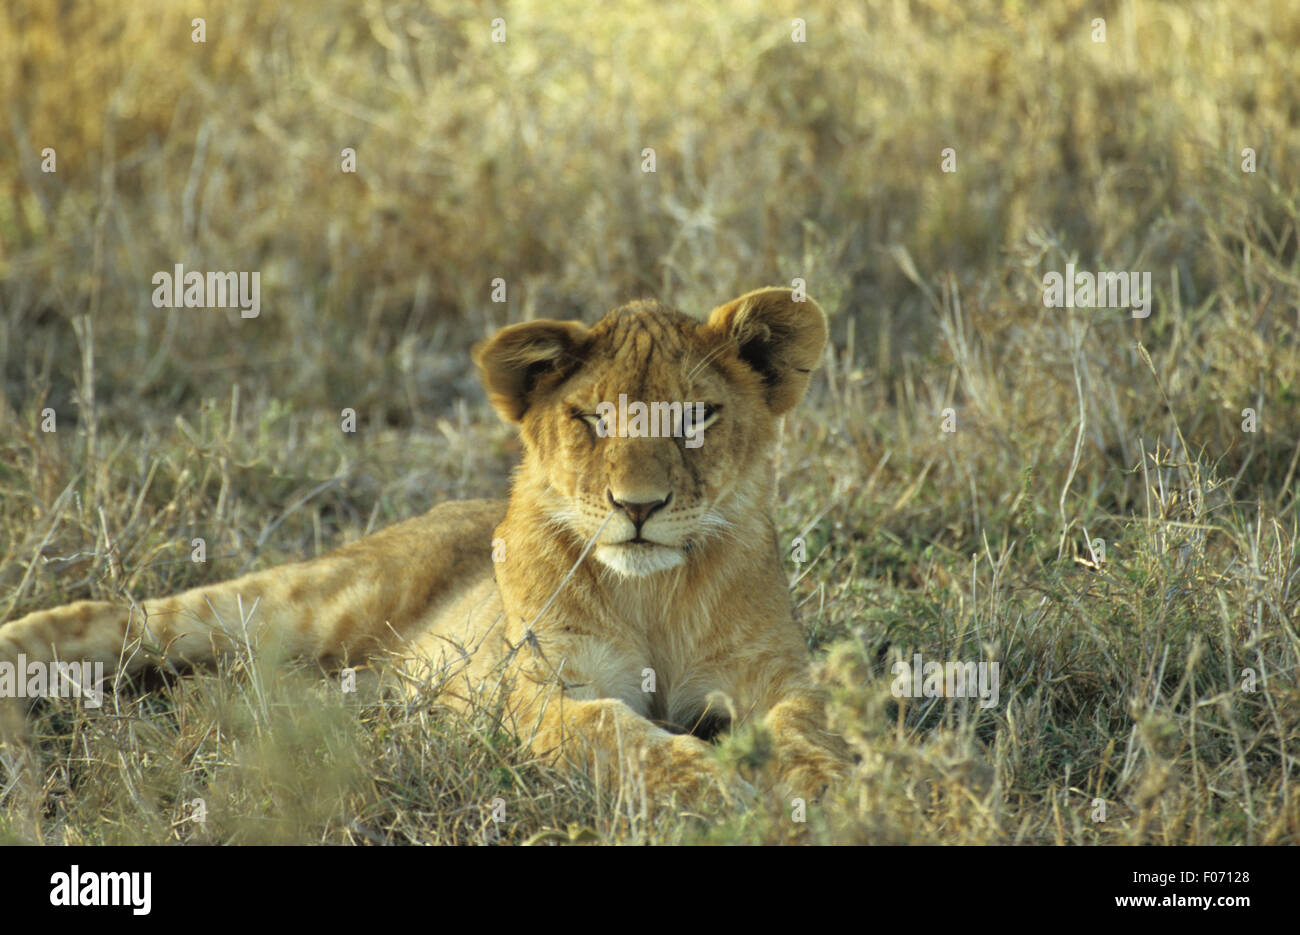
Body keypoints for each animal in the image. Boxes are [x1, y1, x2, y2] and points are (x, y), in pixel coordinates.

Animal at [0, 287, 848, 804]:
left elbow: (807, 723)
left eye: (697, 418)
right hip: (302, 600)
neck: (654, 589)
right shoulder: (538, 689)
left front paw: (828, 783)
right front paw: (711, 783)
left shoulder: (773, 673)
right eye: (590, 418)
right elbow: (615, 732)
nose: (638, 507)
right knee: (122, 616)